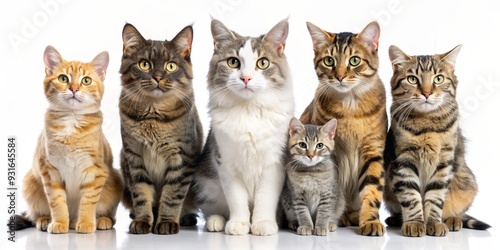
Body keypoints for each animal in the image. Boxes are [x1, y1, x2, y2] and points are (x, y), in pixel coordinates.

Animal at [14, 45, 123, 234]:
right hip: (30, 181)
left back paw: (101, 220)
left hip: (115, 179)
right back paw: (46, 220)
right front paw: (59, 223)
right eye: (63, 78)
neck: (72, 122)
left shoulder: (96, 171)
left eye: (86, 80)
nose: (74, 89)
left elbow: (88, 202)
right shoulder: (50, 171)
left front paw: (86, 223)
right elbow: (57, 202)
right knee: (35, 215)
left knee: (110, 215)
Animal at [119, 23, 203, 234]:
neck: (153, 114)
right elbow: (141, 195)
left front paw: (166, 221)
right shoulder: (134, 158)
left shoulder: (182, 159)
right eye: (144, 64)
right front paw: (142, 221)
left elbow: (172, 196)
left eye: (170, 66)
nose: (157, 77)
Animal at [190, 18, 292, 235]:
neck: (248, 109)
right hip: (206, 186)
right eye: (233, 62)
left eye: (263, 63)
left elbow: (265, 199)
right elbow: (236, 200)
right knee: (212, 209)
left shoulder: (274, 164)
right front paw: (239, 224)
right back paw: (217, 221)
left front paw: (262, 223)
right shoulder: (226, 163)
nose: (246, 78)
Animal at [298, 22, 388, 236]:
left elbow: (372, 190)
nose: (339, 76)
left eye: (354, 61)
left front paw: (370, 220)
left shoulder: (372, 151)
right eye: (329, 60)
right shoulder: (333, 154)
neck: (350, 108)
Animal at [384, 44, 490, 236]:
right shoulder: (403, 161)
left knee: (458, 212)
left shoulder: (443, 163)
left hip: (468, 183)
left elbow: (435, 197)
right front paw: (415, 222)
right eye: (412, 79)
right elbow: (411, 197)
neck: (427, 124)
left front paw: (433, 223)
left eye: (438, 79)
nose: (426, 93)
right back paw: (396, 219)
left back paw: (452, 220)